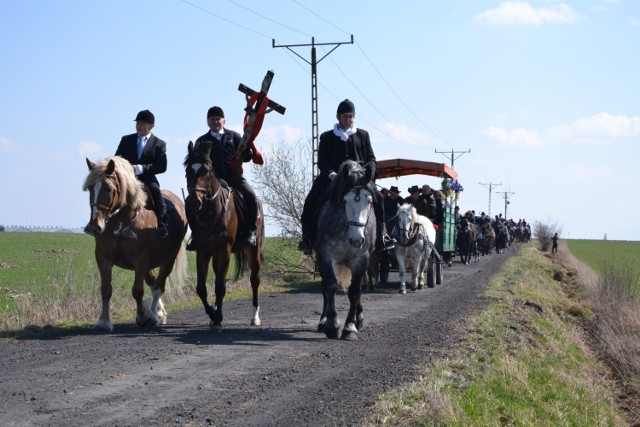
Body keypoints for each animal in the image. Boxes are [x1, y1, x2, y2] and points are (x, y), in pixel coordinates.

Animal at [82, 155, 188, 332]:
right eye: (90, 188)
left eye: (108, 189)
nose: (94, 226)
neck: (121, 221)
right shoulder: (103, 258)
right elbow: (106, 290)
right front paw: (103, 322)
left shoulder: (141, 260)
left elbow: (137, 291)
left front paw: (144, 316)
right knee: (153, 281)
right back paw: (159, 313)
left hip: (168, 259)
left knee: (159, 285)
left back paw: (154, 315)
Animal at [182, 142, 262, 332]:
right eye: (188, 170)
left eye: (206, 171)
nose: (194, 202)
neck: (210, 213)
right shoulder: (203, 251)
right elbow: (201, 288)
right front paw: (213, 314)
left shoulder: (224, 250)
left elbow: (220, 286)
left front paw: (218, 319)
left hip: (253, 251)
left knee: (254, 280)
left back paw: (255, 317)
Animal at [316, 160, 376, 342]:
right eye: (345, 200)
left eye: (368, 201)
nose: (357, 240)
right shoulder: (324, 255)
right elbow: (330, 286)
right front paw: (332, 325)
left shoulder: (361, 259)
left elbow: (355, 292)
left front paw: (350, 327)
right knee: (325, 288)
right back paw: (323, 321)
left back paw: (359, 318)